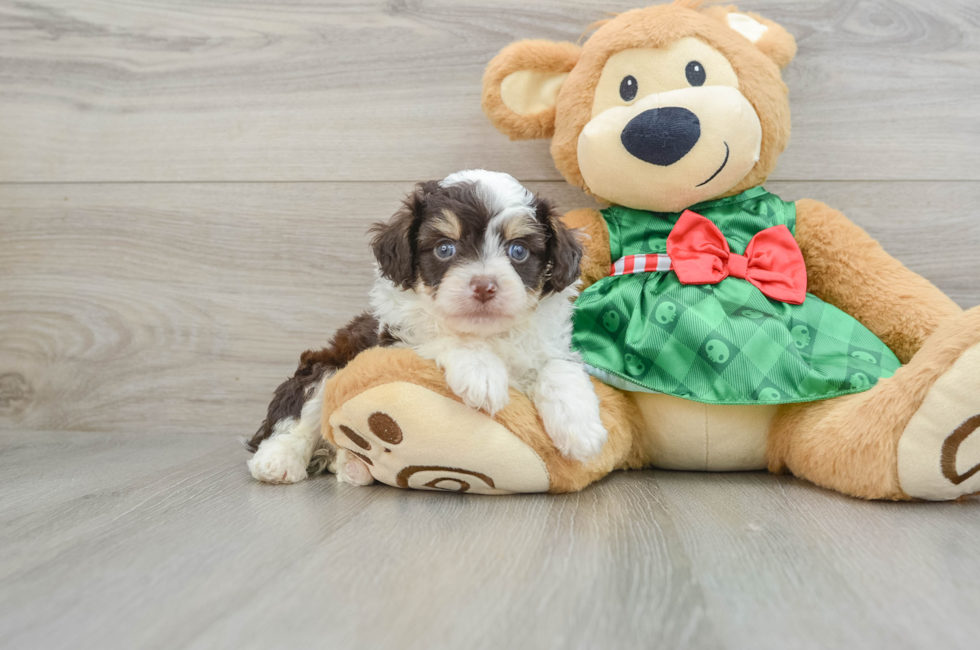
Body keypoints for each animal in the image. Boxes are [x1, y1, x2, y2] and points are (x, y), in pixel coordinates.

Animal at [247, 170, 604, 484]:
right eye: (445, 248)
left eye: (518, 251)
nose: (484, 286)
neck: (487, 333)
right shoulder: (394, 340)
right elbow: (441, 336)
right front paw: (482, 373)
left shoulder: (549, 343)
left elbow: (558, 366)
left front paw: (580, 426)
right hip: (327, 367)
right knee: (296, 419)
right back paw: (278, 461)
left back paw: (352, 465)